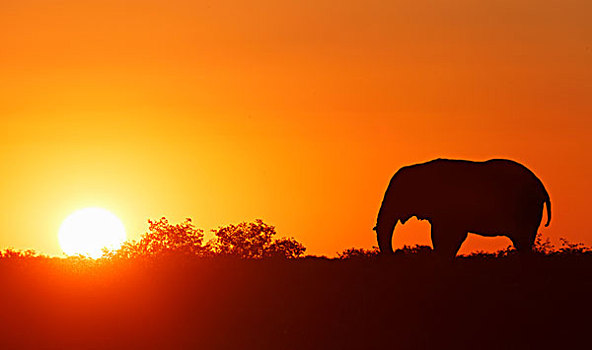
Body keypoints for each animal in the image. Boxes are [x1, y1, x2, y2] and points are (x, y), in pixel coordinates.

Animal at [374, 159, 552, 258]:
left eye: (399, 195)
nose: (395, 255)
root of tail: (542, 187)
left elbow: (445, 234)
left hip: (526, 207)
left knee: (522, 240)